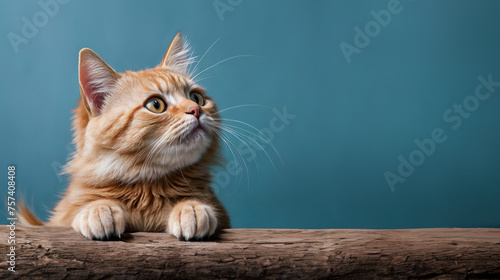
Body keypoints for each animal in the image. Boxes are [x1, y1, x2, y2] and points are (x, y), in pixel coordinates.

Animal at [19, 31, 230, 240]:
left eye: (196, 98)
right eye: (156, 105)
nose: (196, 110)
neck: (149, 187)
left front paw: (192, 207)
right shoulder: (56, 220)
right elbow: (77, 211)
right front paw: (98, 209)